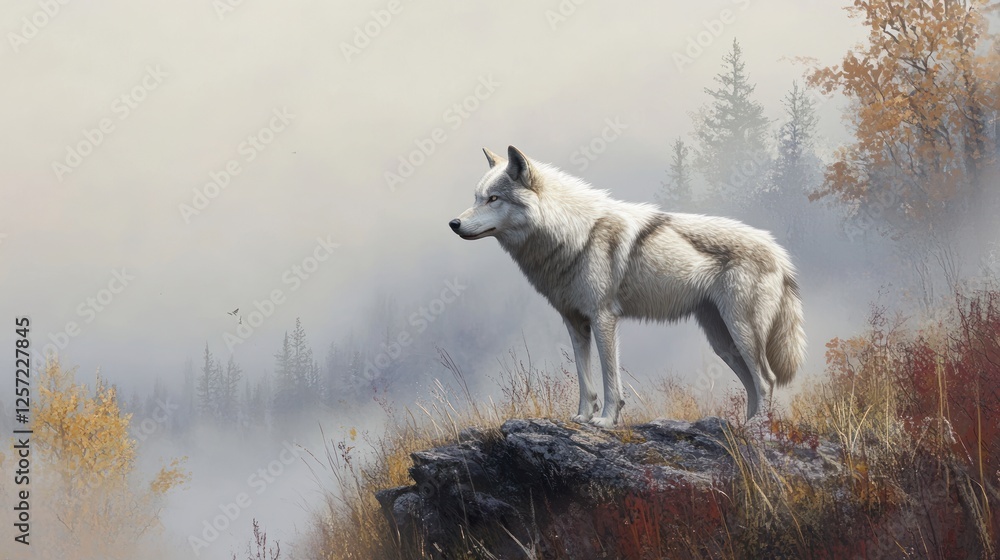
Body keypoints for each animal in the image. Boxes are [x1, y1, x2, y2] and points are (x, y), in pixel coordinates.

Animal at [449, 146, 806, 427]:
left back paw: (757, 430)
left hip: (741, 332)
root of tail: (778, 251)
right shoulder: (574, 322)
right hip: (724, 342)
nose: (453, 223)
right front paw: (582, 418)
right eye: (477, 198)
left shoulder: (604, 318)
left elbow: (610, 379)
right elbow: (585, 380)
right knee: (752, 384)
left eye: (493, 199)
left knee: (767, 381)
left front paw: (607, 420)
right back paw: (744, 428)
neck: (571, 236)